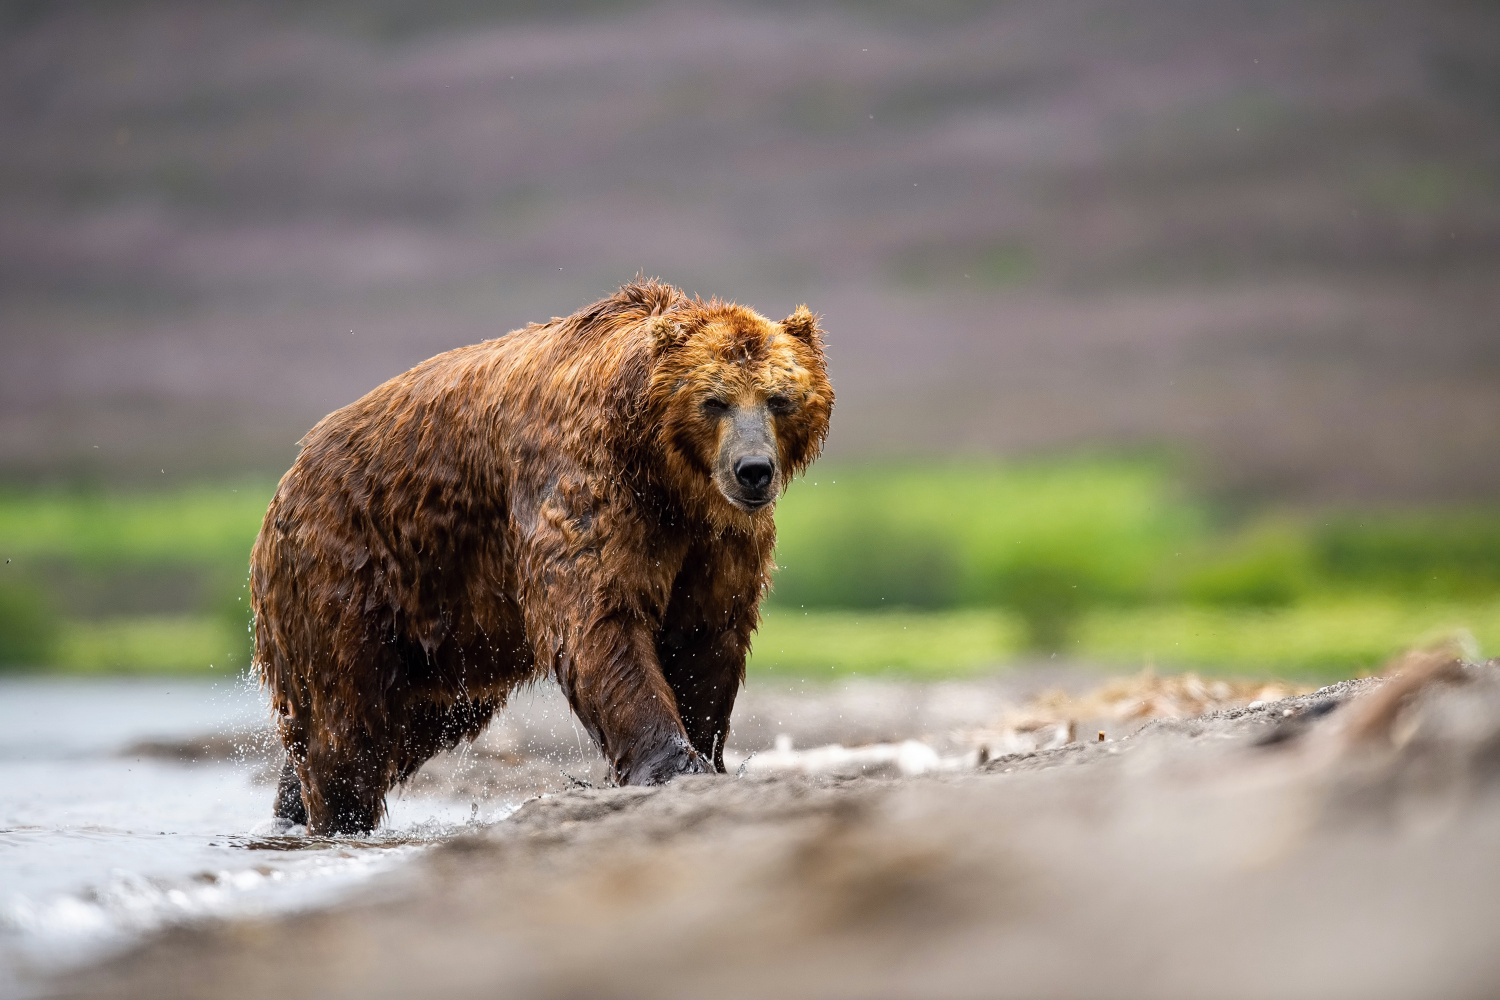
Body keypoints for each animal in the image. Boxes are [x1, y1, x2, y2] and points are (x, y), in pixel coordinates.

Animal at [246, 277, 834, 833]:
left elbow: (706, 636)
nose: (753, 470)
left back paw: (290, 807)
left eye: (779, 398)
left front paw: (707, 756)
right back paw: (334, 815)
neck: (662, 475)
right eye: (714, 401)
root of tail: (290, 475)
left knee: (410, 719)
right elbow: (599, 619)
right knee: (347, 724)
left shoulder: (716, 539)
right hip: (348, 571)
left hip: (445, 624)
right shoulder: (583, 480)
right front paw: (673, 765)